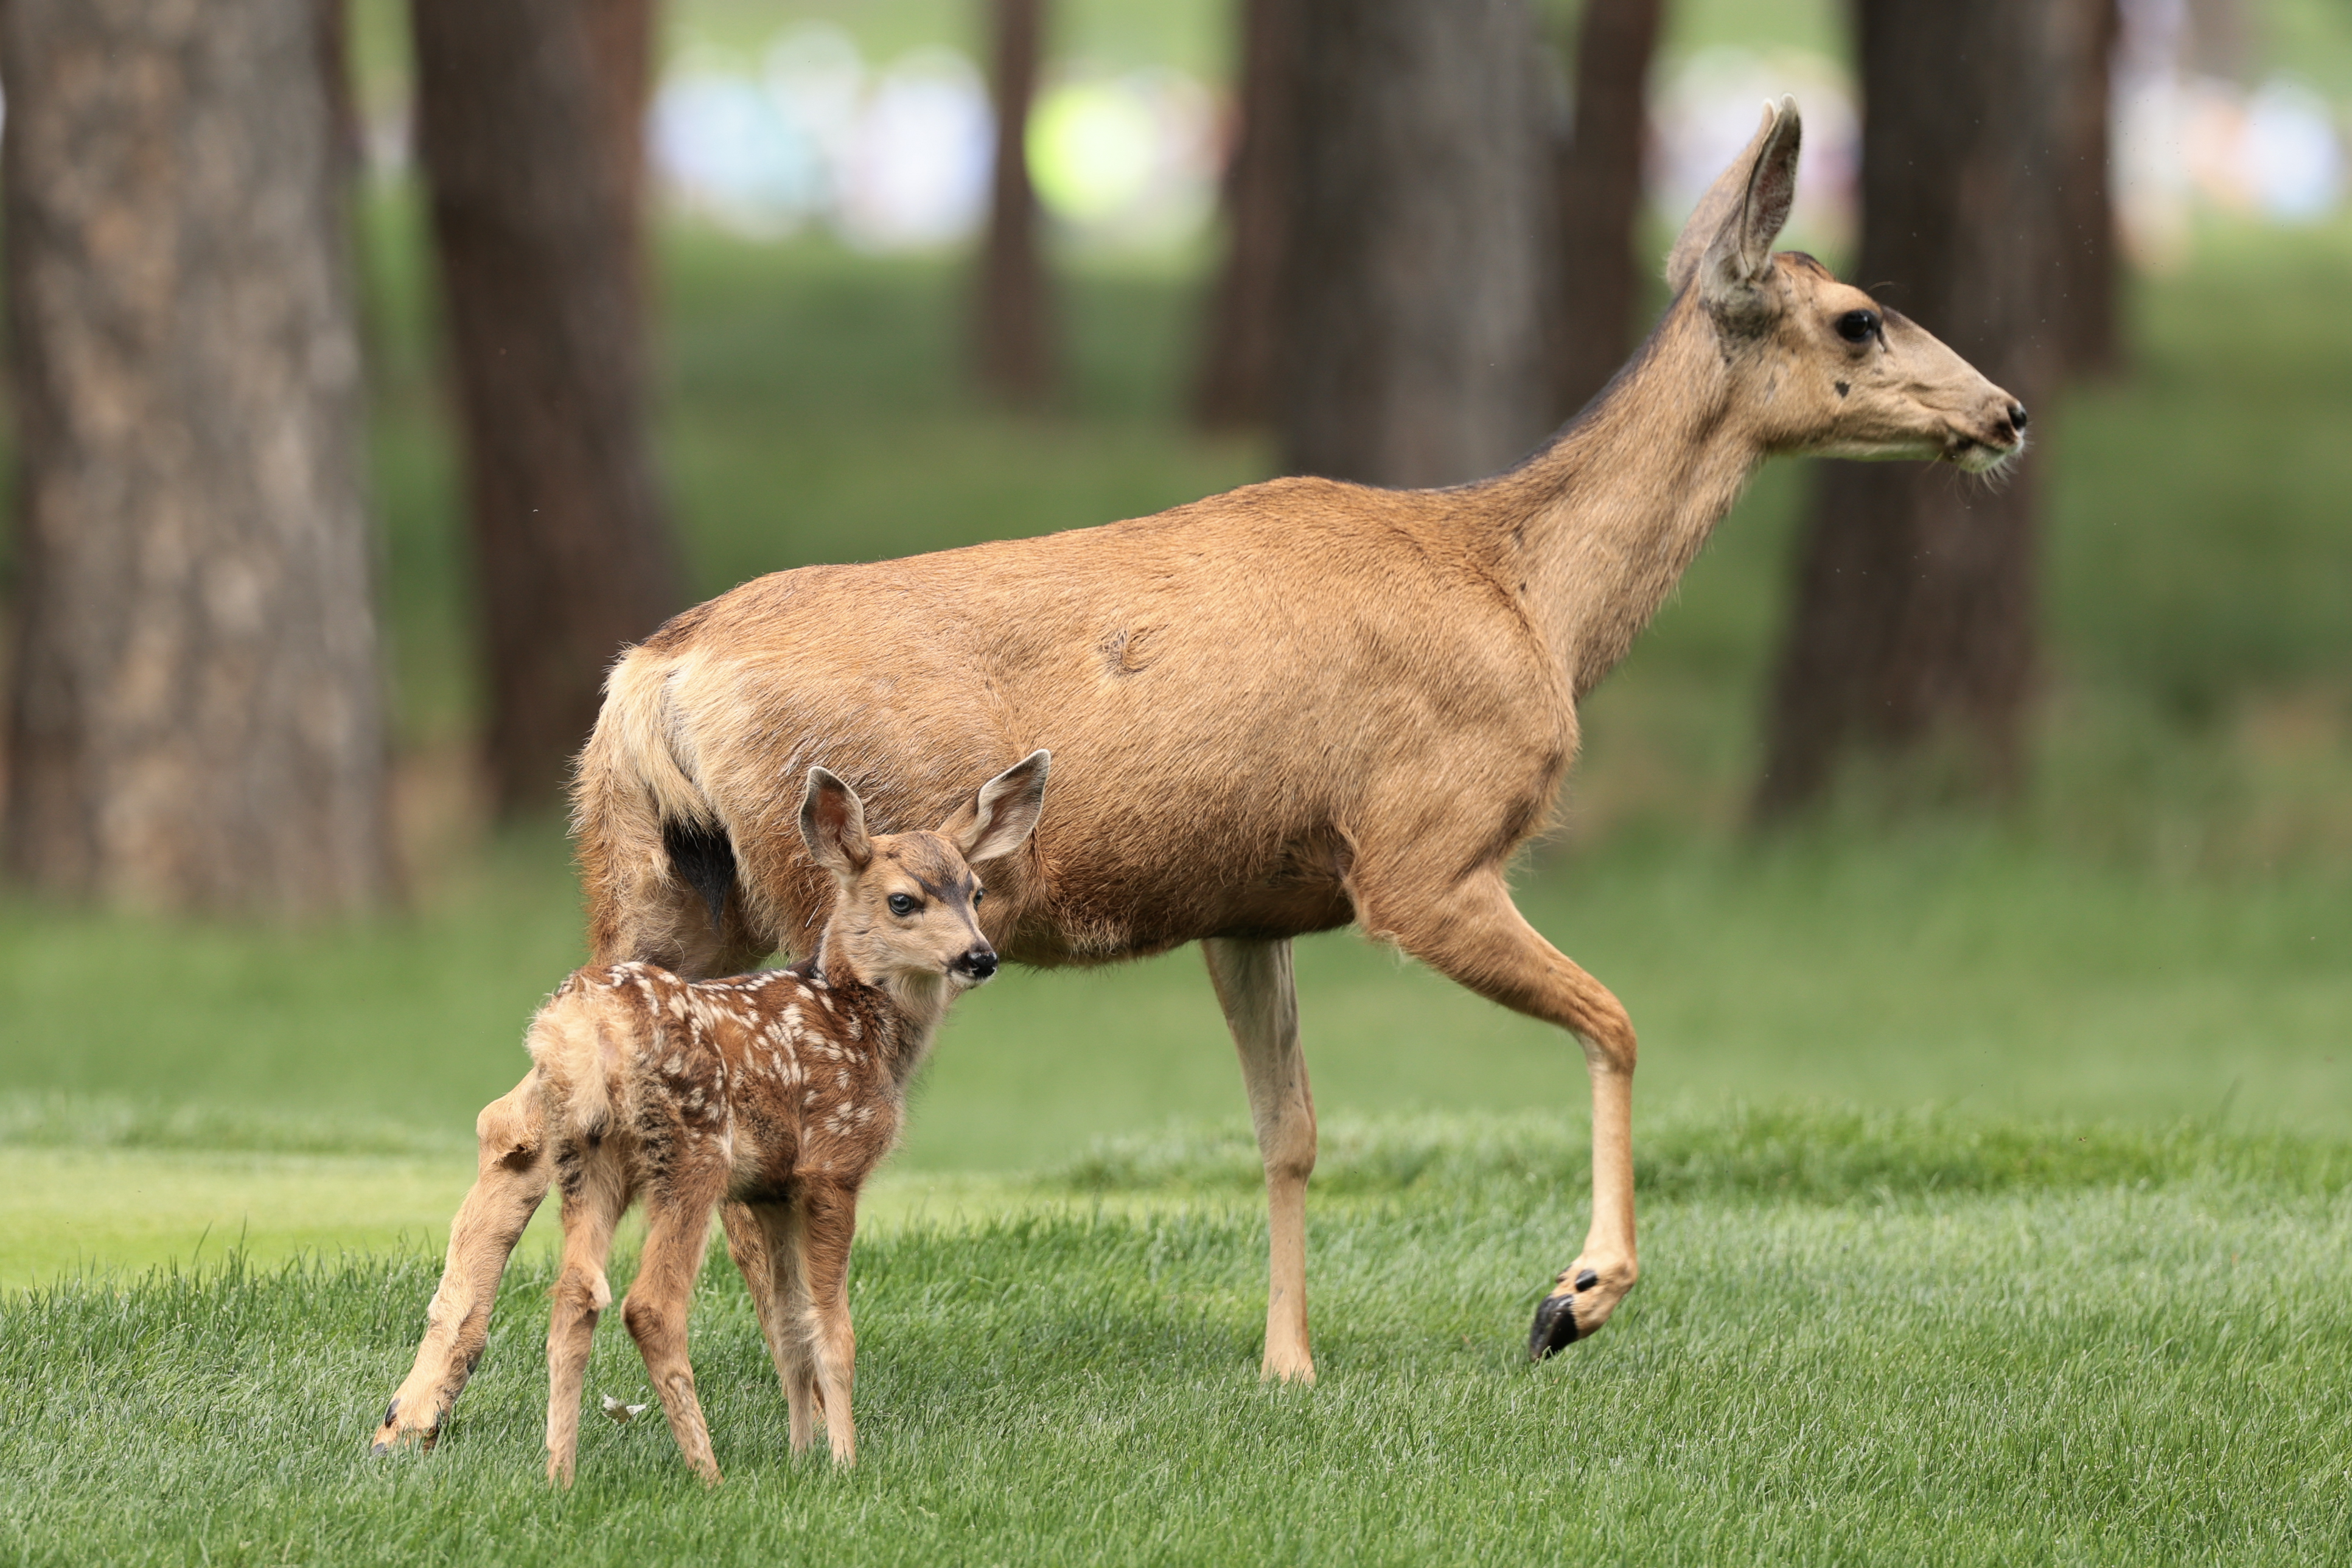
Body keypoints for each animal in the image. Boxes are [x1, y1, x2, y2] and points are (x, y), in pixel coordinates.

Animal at [537, 753, 1049, 1483]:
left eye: (975, 893)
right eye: (902, 901)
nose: (979, 957)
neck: (858, 1028)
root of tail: (580, 1031)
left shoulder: (770, 1189)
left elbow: (787, 1327)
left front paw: (800, 1455)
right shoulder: (831, 1167)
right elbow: (833, 1327)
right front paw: (844, 1462)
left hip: (585, 1156)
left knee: (573, 1297)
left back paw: (559, 1476)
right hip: (689, 1153)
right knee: (650, 1305)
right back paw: (709, 1474)